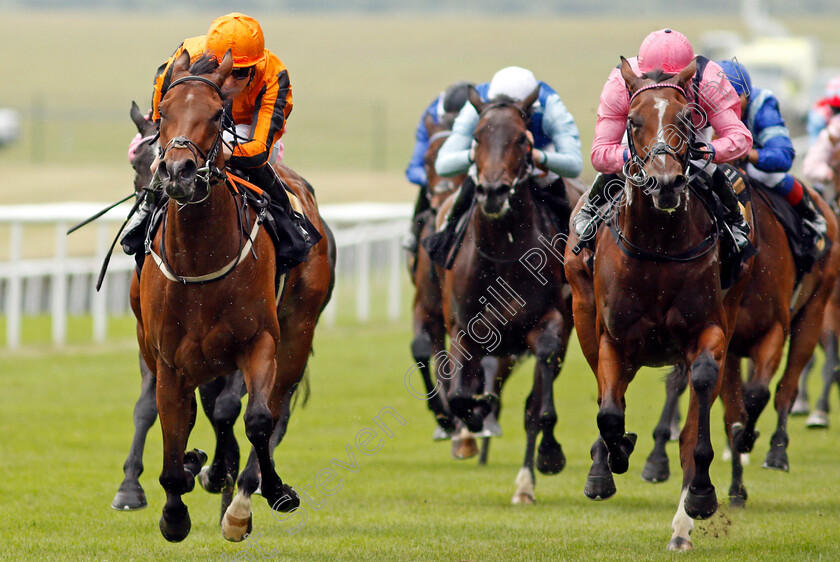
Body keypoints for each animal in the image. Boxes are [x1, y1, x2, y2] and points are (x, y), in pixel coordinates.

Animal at [130, 50, 334, 540]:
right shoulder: (169, 358)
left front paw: (266, 492)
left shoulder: (259, 341)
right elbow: (174, 423)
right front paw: (176, 504)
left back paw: (240, 497)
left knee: (271, 410)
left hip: (296, 333)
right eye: (163, 113)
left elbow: (255, 419)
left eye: (215, 114)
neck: (199, 258)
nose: (177, 172)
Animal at [440, 85, 572, 500]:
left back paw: (526, 482)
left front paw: (550, 454)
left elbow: (539, 407)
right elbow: (460, 396)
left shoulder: (551, 324)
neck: (503, 251)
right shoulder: (464, 328)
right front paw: (474, 417)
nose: (494, 192)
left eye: (521, 140)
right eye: (477, 137)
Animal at [564, 59, 756, 548]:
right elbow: (609, 412)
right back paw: (603, 465)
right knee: (607, 394)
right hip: (585, 317)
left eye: (687, 118)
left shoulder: (709, 330)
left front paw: (702, 497)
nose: (665, 183)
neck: (660, 247)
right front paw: (612, 458)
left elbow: (698, 411)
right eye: (633, 122)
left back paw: (683, 526)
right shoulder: (613, 339)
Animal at [640, 180, 836, 504]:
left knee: (787, 386)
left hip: (815, 311)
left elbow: (757, 394)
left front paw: (749, 439)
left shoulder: (773, 330)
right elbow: (731, 411)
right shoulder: (723, 343)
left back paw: (778, 450)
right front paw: (735, 485)